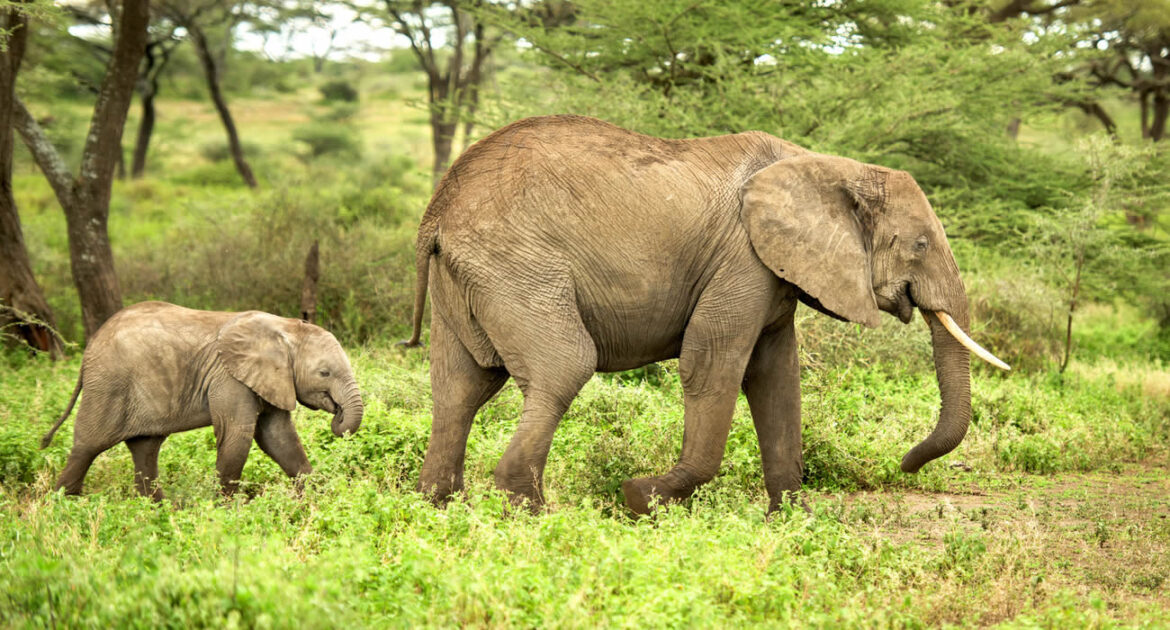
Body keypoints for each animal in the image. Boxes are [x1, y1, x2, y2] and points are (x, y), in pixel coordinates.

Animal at [42, 302, 360, 498]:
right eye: (324, 373)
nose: (338, 415)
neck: (285, 328)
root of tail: (88, 350)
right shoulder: (230, 378)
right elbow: (237, 436)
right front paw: (229, 513)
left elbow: (279, 438)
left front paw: (318, 499)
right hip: (108, 385)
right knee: (87, 447)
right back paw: (61, 506)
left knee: (145, 450)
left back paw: (159, 513)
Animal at [402, 115, 1006, 512]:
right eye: (921, 245)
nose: (904, 463)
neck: (827, 164)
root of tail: (438, 210)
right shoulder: (742, 259)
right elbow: (713, 364)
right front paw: (640, 498)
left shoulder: (773, 272)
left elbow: (776, 377)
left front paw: (795, 521)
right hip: (515, 266)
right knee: (563, 366)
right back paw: (526, 511)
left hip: (468, 280)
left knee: (459, 386)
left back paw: (437, 505)